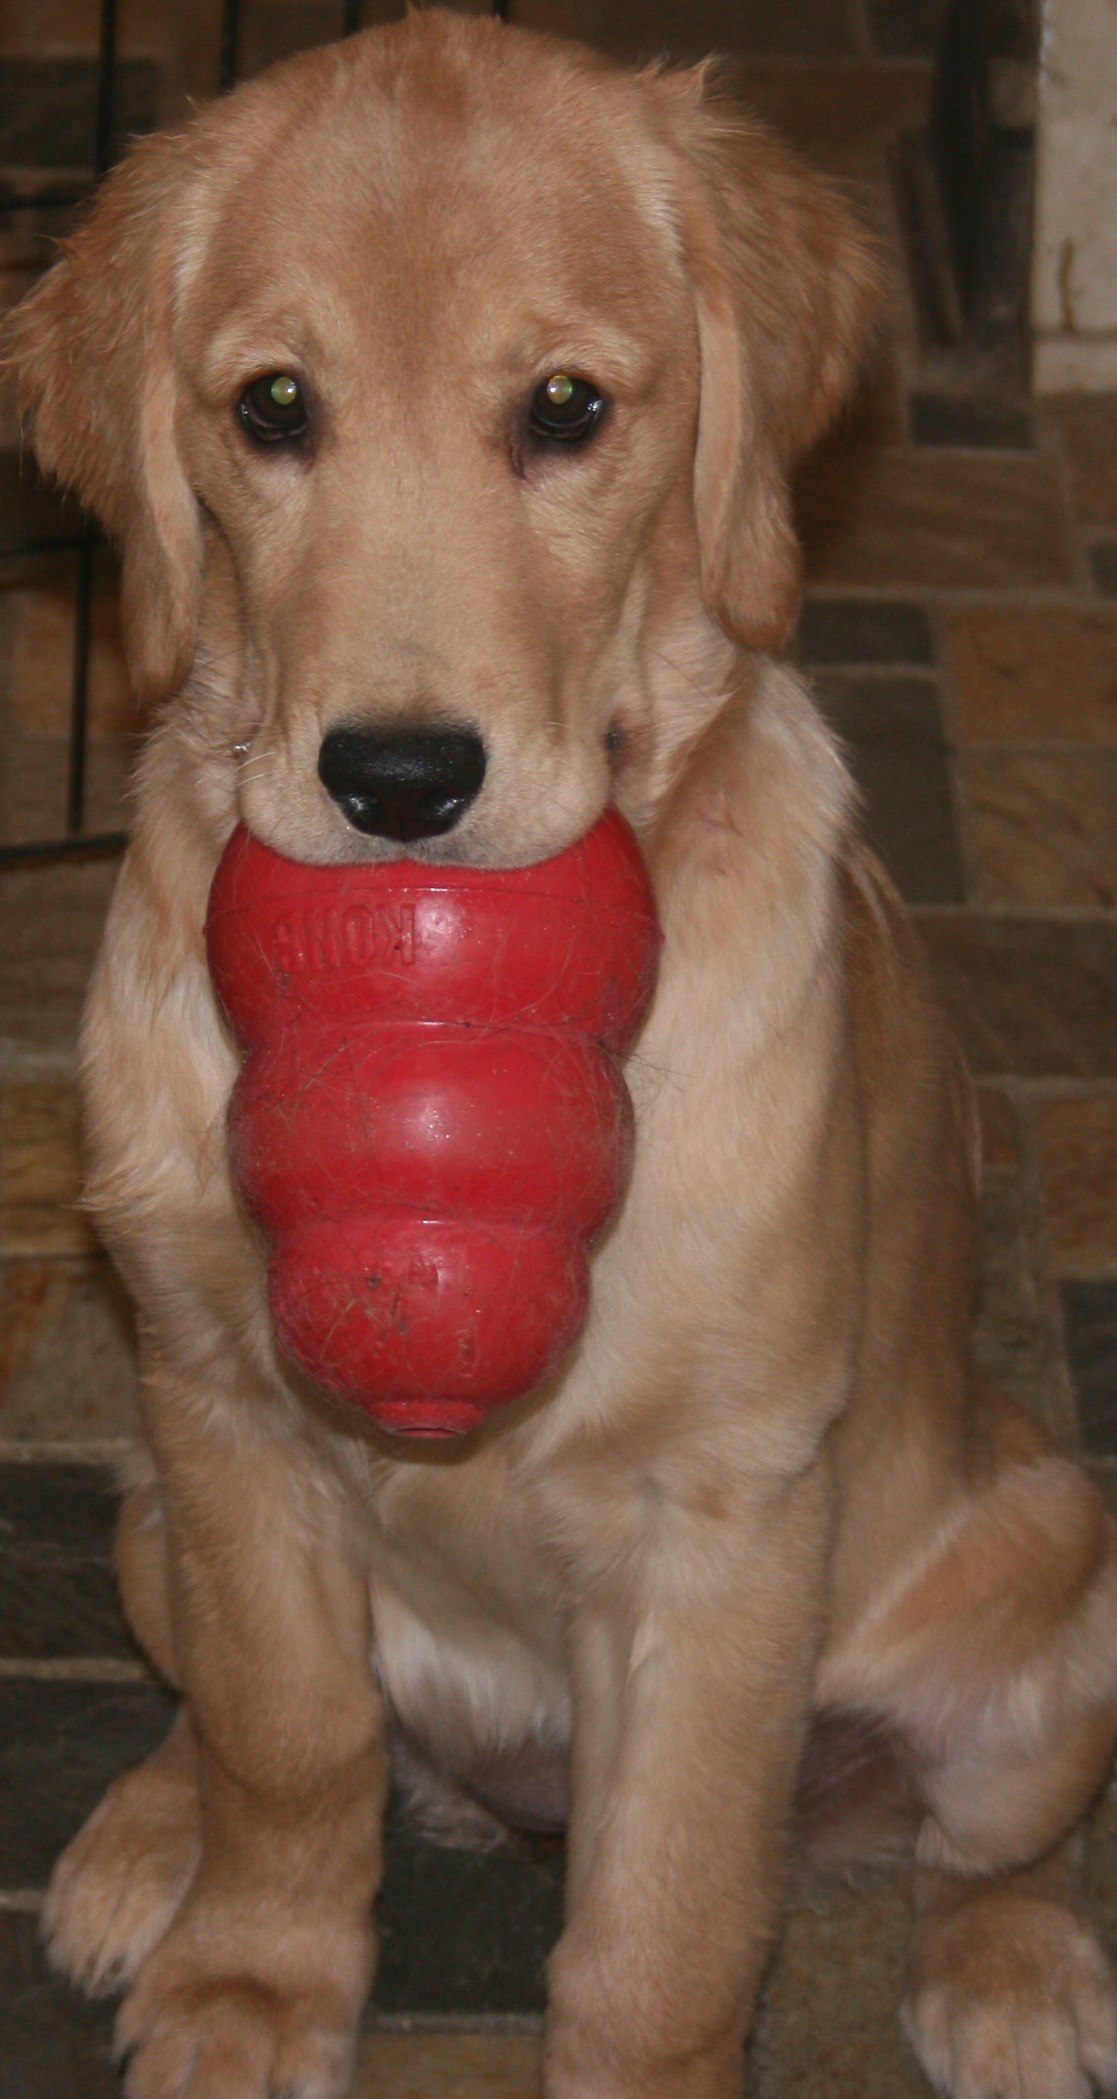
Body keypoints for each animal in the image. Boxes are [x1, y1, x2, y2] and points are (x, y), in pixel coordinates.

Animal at [8, 16, 1117, 2099]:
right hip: (135, 1516)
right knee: (222, 1717)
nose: (397, 781)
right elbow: (290, 1744)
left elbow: (667, 1923)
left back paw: (1015, 1973)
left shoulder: (724, 1519)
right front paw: (250, 1983)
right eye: (272, 406)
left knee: (984, 1843)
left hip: (1055, 1599)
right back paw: (138, 1838)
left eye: (567, 409)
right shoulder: (221, 1413)